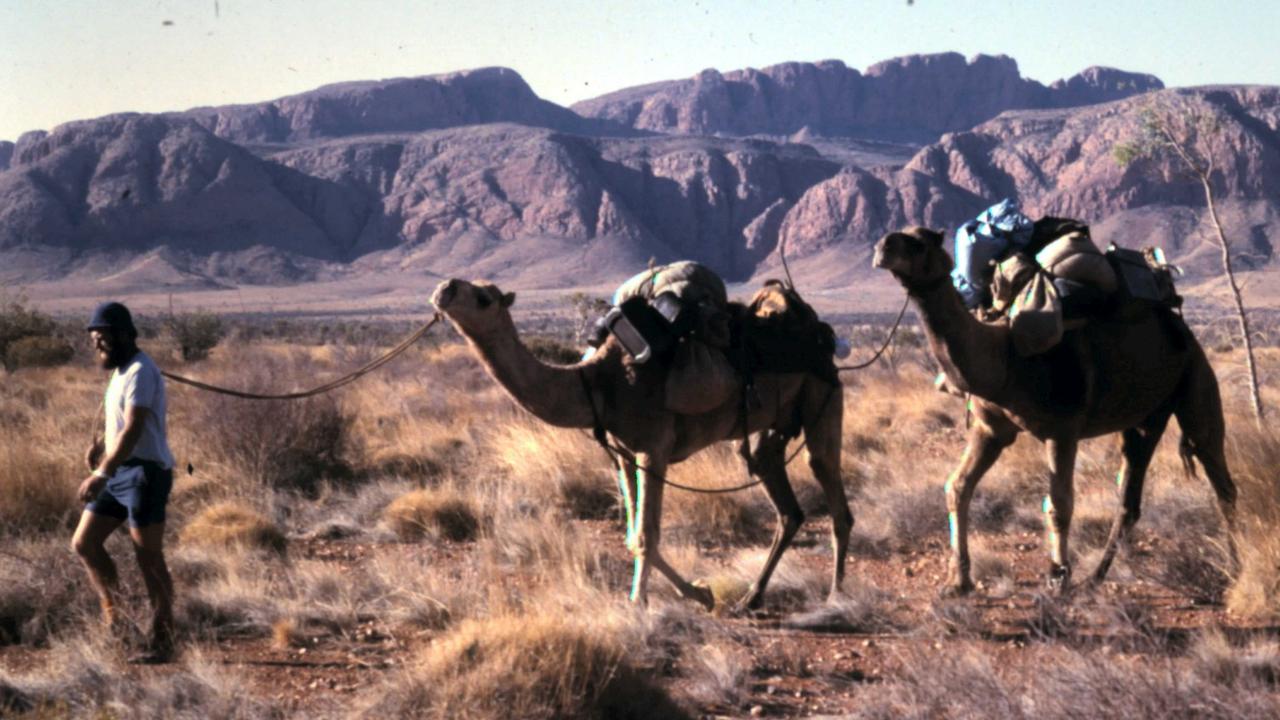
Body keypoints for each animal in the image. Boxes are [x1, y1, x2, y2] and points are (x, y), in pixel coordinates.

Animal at [435, 278, 855, 607]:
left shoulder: (654, 448)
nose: (444, 289)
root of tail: (819, 332)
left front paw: (639, 602)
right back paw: (751, 598)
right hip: (773, 424)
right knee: (781, 497)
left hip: (823, 392)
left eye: (483, 297)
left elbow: (645, 535)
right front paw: (699, 594)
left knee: (828, 481)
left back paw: (835, 597)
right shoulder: (624, 454)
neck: (599, 382)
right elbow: (632, 535)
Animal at [875, 226, 1233, 591]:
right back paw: (1095, 577)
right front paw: (957, 580)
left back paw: (1234, 565)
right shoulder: (990, 429)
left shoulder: (1062, 430)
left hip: (1195, 378)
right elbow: (957, 487)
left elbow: (1059, 503)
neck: (1006, 359)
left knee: (1219, 474)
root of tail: (1183, 329)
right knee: (1129, 499)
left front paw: (1058, 576)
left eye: (918, 242)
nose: (882, 247)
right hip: (1145, 418)